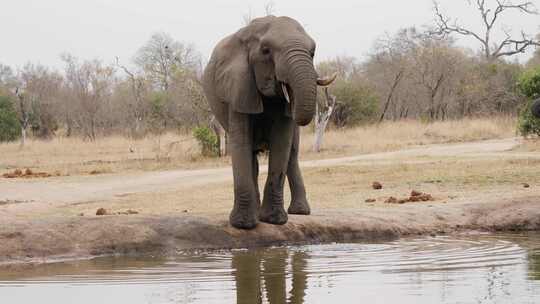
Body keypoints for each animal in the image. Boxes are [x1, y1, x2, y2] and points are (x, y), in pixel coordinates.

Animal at [202, 15, 336, 229]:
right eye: (265, 51)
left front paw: (274, 221)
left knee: (292, 155)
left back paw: (300, 212)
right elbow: (241, 143)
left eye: (313, 52)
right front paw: (244, 225)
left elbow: (282, 143)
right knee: (252, 156)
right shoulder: (237, 86)